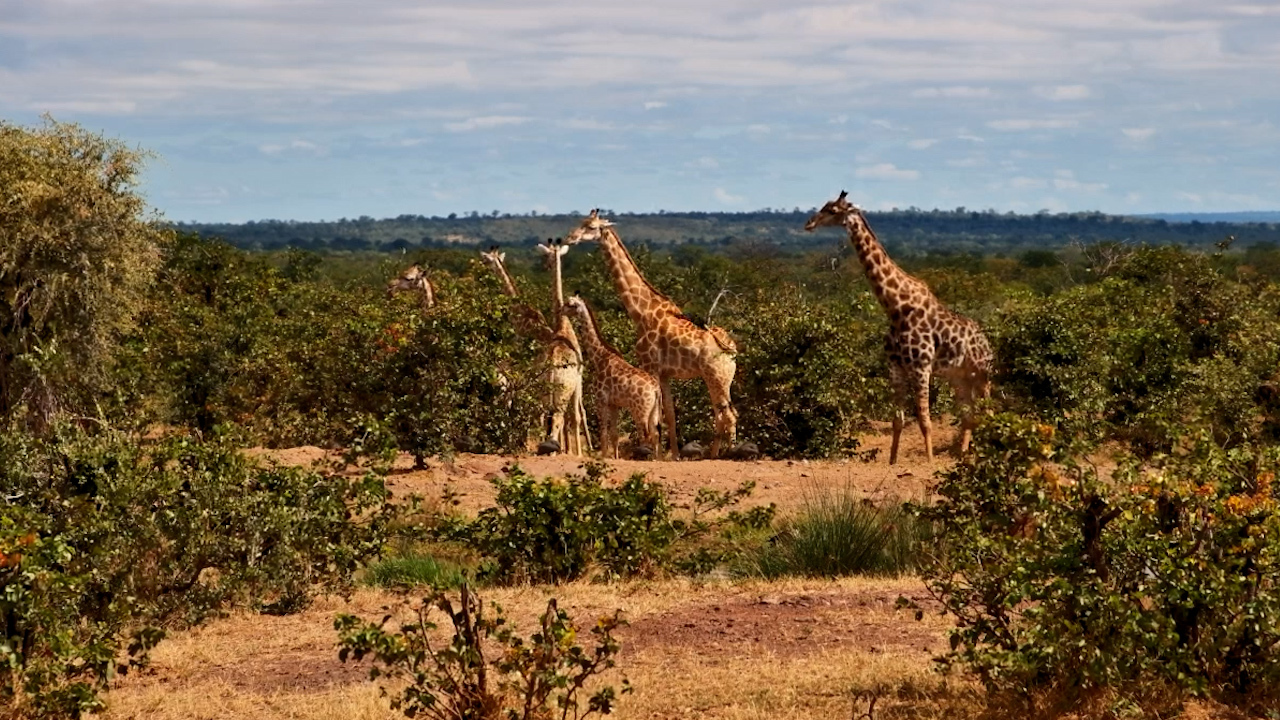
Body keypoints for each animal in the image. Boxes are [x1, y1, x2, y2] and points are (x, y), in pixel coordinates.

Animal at [561, 294, 661, 460]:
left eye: (570, 304)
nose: (560, 311)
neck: (599, 357)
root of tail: (655, 389)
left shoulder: (601, 401)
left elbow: (603, 434)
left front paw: (602, 458)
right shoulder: (615, 404)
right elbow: (614, 435)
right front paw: (616, 457)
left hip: (639, 410)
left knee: (645, 435)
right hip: (654, 411)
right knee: (655, 433)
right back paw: (655, 459)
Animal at [805, 191, 993, 464]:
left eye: (833, 210)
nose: (809, 223)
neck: (896, 308)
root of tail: (986, 341)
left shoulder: (921, 367)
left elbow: (925, 421)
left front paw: (929, 461)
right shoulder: (895, 367)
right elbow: (898, 421)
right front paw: (892, 461)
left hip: (982, 372)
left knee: (988, 411)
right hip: (958, 376)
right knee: (968, 414)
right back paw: (963, 454)